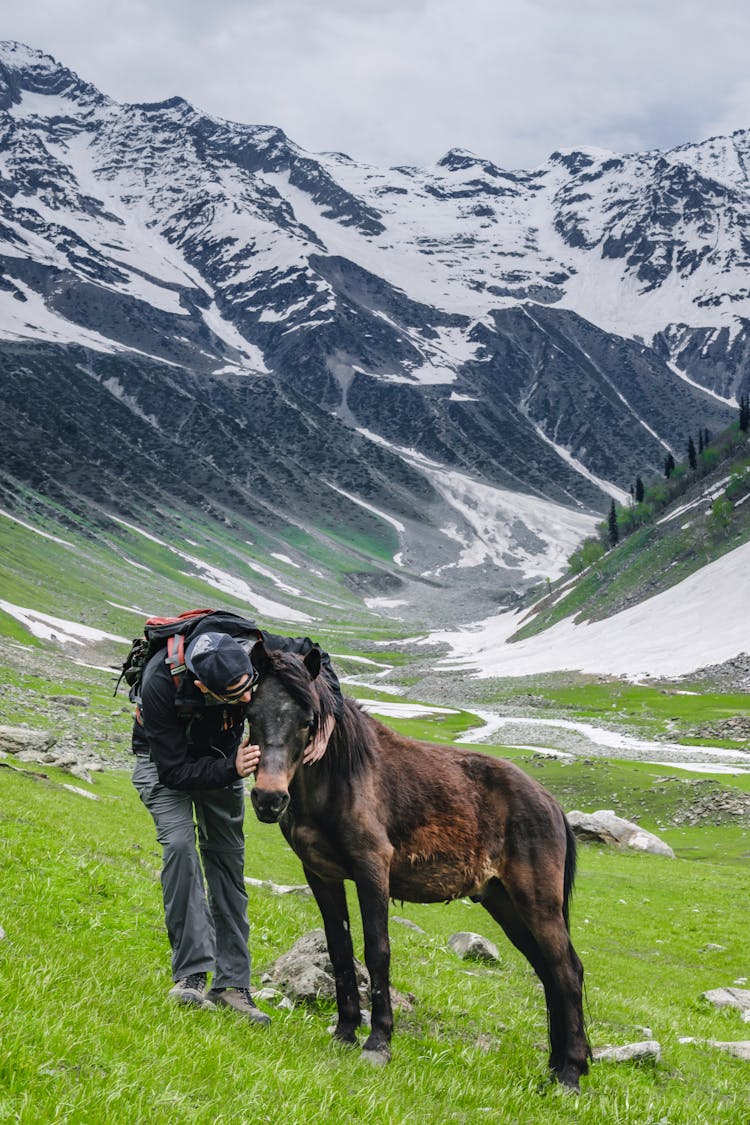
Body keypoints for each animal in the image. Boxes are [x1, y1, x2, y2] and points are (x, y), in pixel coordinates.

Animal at [249, 643, 593, 1089]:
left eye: (308, 721)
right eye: (251, 714)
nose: (269, 799)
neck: (341, 777)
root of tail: (550, 803)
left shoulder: (371, 871)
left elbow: (376, 951)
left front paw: (378, 1042)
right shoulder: (322, 876)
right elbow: (340, 952)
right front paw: (345, 1032)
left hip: (537, 902)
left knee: (567, 971)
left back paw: (570, 1073)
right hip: (505, 904)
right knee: (549, 972)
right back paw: (556, 1067)